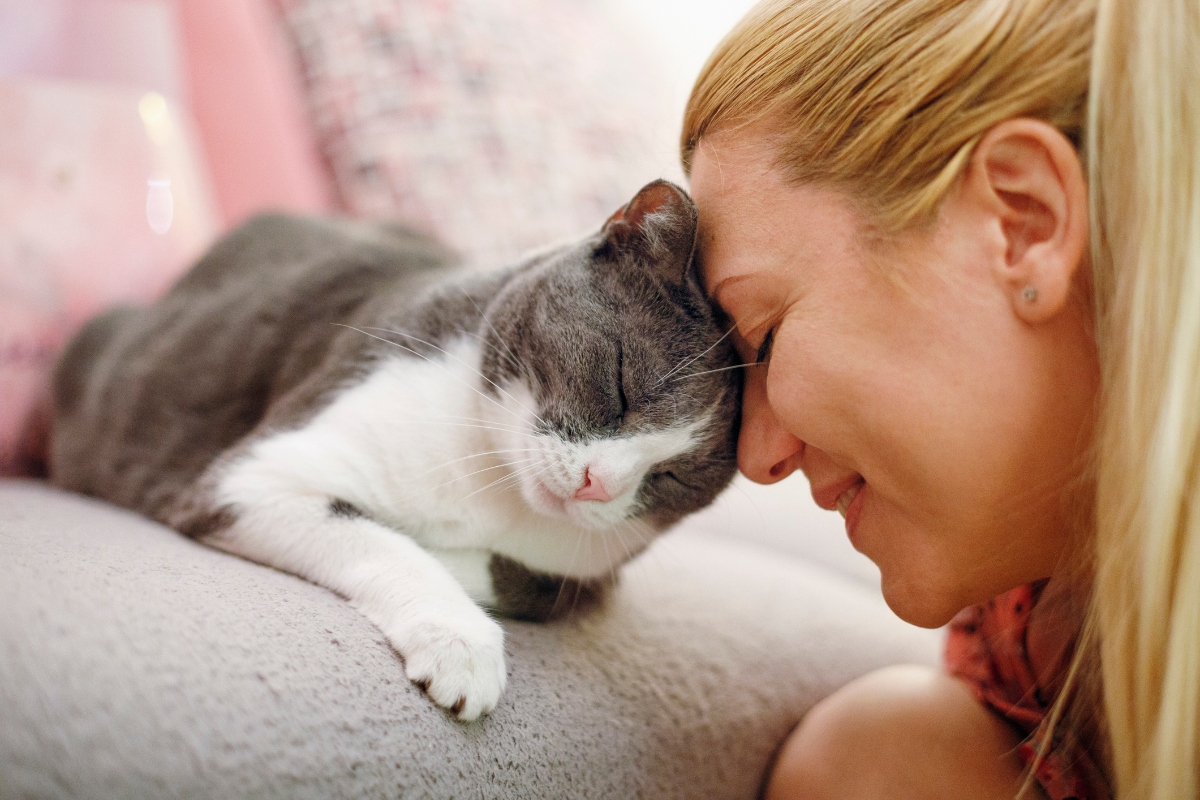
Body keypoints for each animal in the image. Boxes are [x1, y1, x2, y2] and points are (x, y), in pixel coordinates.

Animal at [51, 179, 739, 719]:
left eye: (678, 476)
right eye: (621, 385)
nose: (600, 484)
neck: (495, 481)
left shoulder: (593, 571)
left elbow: (540, 585)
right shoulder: (251, 477)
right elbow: (387, 542)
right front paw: (461, 643)